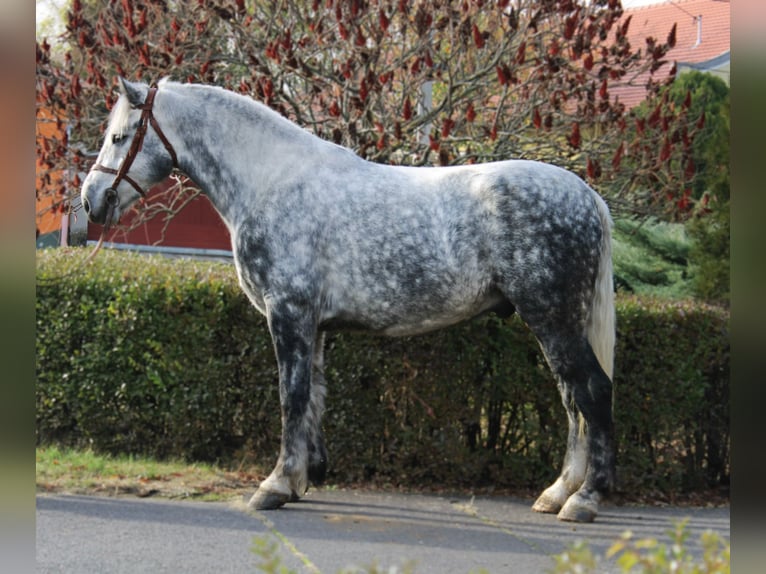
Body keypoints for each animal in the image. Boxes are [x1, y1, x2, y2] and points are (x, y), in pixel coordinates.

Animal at [81, 78, 615, 523]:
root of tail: (587, 195)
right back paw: (557, 493)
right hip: (555, 323)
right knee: (572, 400)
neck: (270, 181)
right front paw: (304, 478)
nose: (91, 200)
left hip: (553, 319)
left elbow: (291, 395)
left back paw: (585, 500)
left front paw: (275, 485)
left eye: (120, 137)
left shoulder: (288, 314)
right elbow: (314, 395)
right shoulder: (312, 325)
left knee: (593, 392)